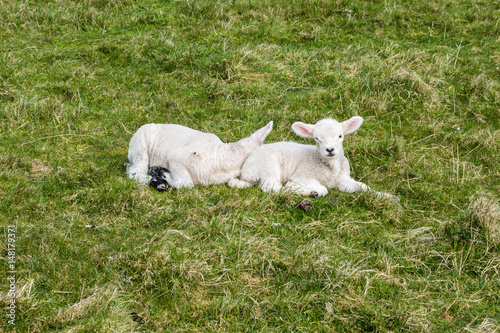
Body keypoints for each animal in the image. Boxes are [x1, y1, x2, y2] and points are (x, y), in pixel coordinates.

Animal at [229, 116, 396, 200]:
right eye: (316, 138)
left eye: (340, 136)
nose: (330, 149)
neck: (331, 169)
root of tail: (244, 171)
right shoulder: (303, 175)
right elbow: (323, 189)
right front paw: (303, 188)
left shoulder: (343, 179)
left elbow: (363, 187)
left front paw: (386, 196)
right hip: (267, 166)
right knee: (272, 187)